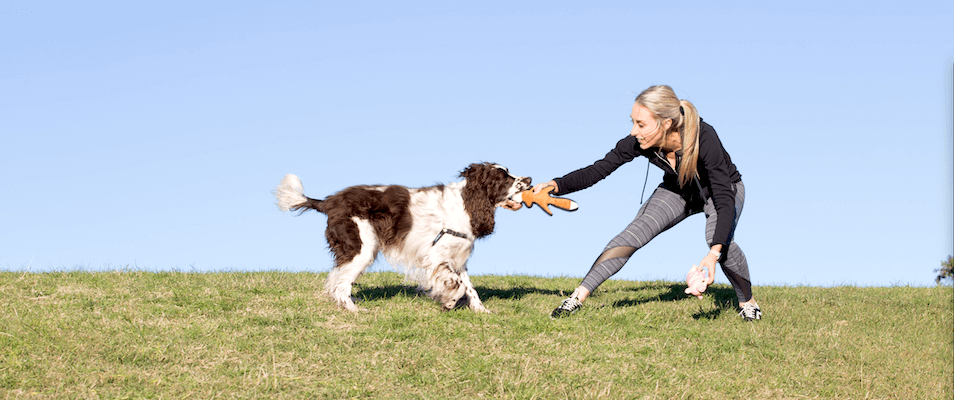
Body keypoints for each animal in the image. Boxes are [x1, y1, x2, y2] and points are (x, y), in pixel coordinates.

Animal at [274, 162, 531, 312]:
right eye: (505, 177)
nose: (529, 180)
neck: (466, 203)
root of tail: (328, 202)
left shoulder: (458, 257)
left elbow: (469, 287)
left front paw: (481, 311)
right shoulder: (436, 256)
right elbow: (457, 286)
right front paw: (448, 302)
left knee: (336, 278)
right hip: (362, 248)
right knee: (341, 283)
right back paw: (355, 311)